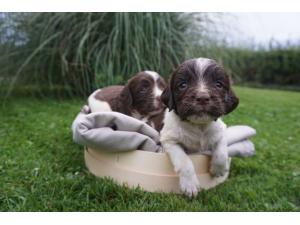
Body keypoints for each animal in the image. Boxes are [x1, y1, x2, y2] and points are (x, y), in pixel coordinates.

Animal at [159, 58, 239, 197]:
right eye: (183, 85)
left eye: (218, 84)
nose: (202, 98)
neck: (199, 126)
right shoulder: (169, 140)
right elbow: (184, 161)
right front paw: (190, 185)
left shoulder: (221, 131)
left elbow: (221, 151)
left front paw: (218, 170)